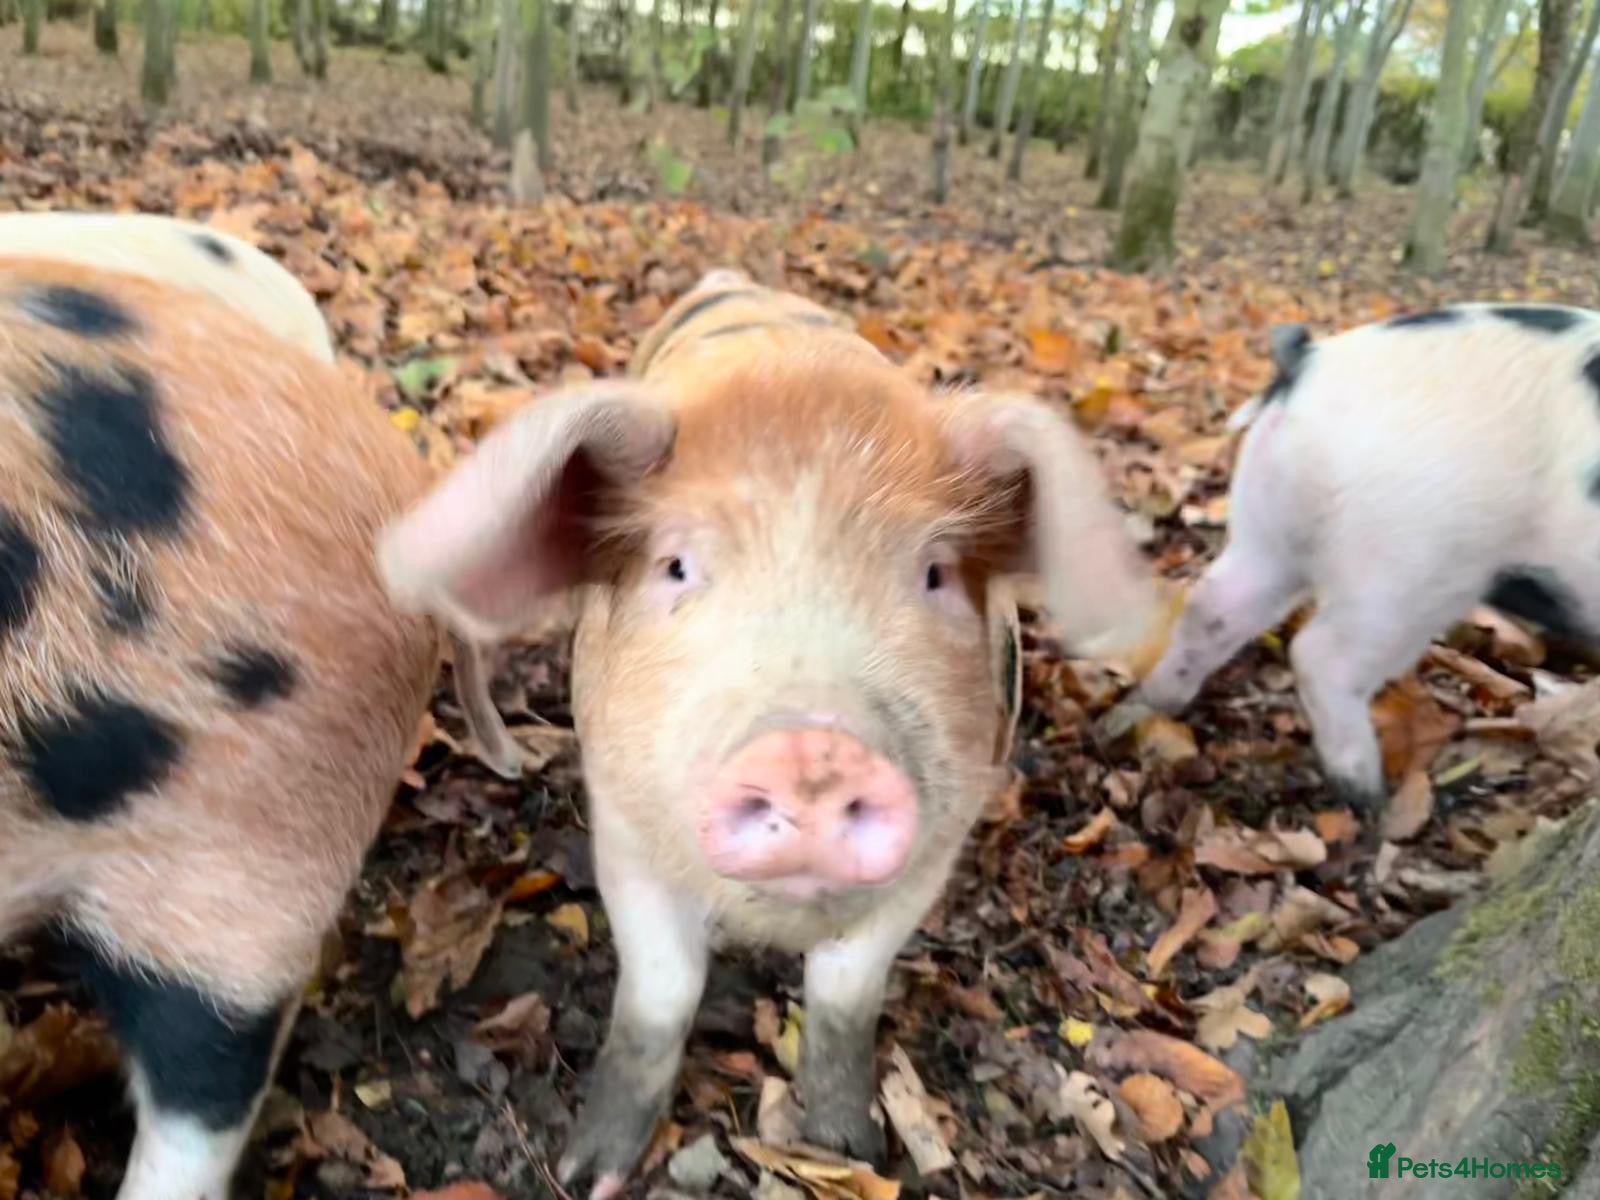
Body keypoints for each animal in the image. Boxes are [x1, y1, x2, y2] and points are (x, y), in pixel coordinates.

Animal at [378, 269, 1166, 1197]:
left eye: (934, 574)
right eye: (676, 566)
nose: (814, 750)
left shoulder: (936, 851)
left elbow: (846, 995)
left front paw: (846, 1149)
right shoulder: (623, 827)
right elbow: (661, 992)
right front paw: (590, 1173)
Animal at [1139, 303, 1600, 811]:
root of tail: (1312, 362)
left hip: (1269, 528)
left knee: (1212, 606)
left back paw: (1158, 703)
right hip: (1409, 565)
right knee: (1319, 654)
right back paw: (1369, 793)